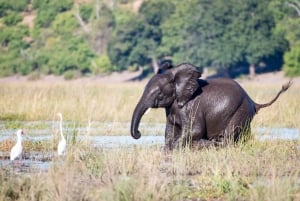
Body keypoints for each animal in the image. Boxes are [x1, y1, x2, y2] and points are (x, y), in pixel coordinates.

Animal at [130, 62, 292, 149]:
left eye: (159, 94)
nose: (138, 133)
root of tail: (253, 101)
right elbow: (169, 131)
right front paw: (166, 149)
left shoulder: (191, 107)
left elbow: (195, 130)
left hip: (240, 110)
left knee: (228, 137)